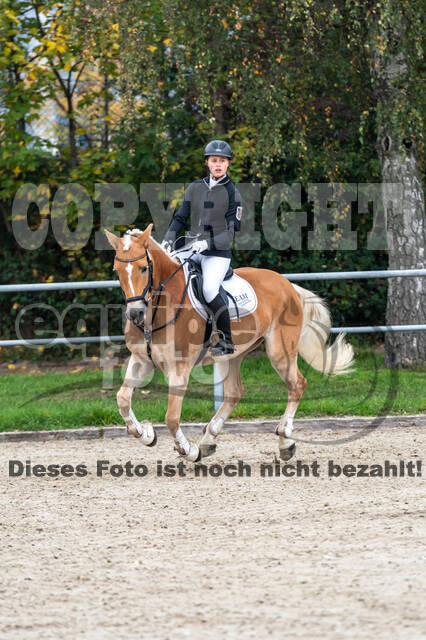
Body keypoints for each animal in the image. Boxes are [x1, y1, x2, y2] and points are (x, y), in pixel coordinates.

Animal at [105, 224, 354, 462]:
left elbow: (172, 417)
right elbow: (123, 399)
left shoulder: (180, 368)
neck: (159, 309)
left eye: (143, 268)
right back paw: (209, 439)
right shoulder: (141, 360)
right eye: (117, 271)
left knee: (297, 385)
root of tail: (287, 284)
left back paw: (285, 441)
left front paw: (188, 451)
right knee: (235, 392)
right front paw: (146, 434)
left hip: (279, 351)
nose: (135, 314)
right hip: (232, 355)